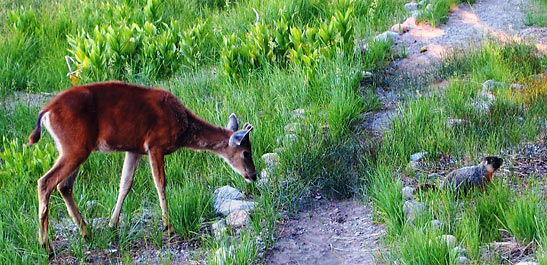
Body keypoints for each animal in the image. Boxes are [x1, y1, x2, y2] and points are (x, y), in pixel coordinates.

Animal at [25, 80, 256, 250]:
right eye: (246, 152)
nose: (252, 175)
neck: (183, 126)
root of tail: (46, 111)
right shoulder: (155, 144)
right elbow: (160, 183)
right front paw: (168, 226)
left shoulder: (135, 149)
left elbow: (125, 184)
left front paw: (112, 224)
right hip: (75, 146)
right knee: (45, 182)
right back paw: (45, 244)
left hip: (77, 148)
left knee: (64, 186)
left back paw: (86, 232)